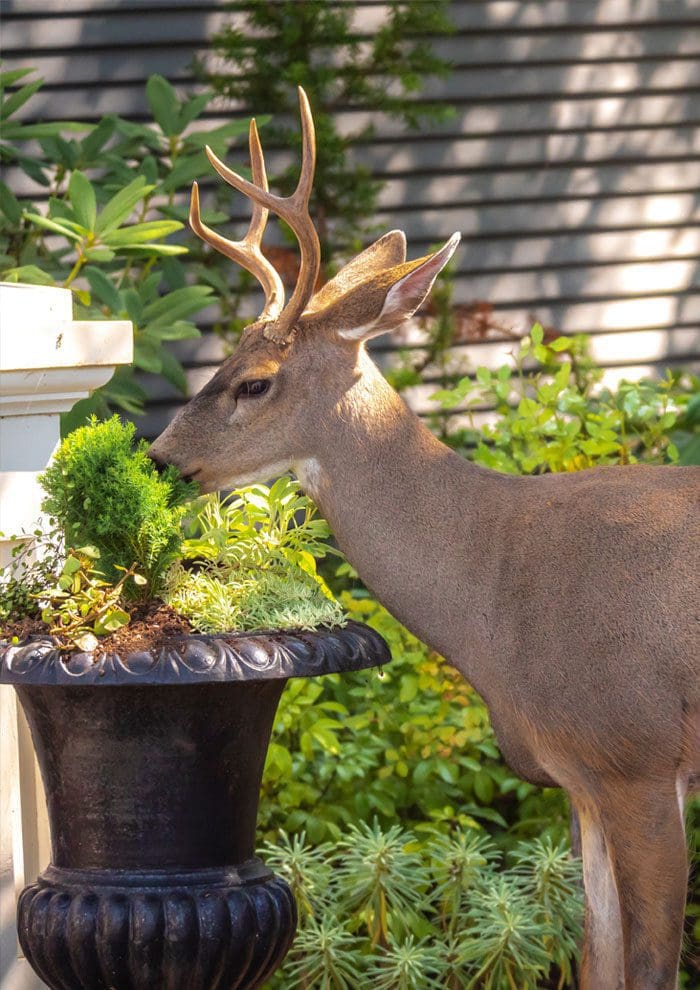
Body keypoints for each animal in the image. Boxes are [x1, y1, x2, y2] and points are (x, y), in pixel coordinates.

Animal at [150, 89, 700, 988]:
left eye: (253, 383)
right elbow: (596, 957)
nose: (159, 460)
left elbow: (648, 967)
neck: (497, 588)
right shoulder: (581, 778)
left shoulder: (639, 754)